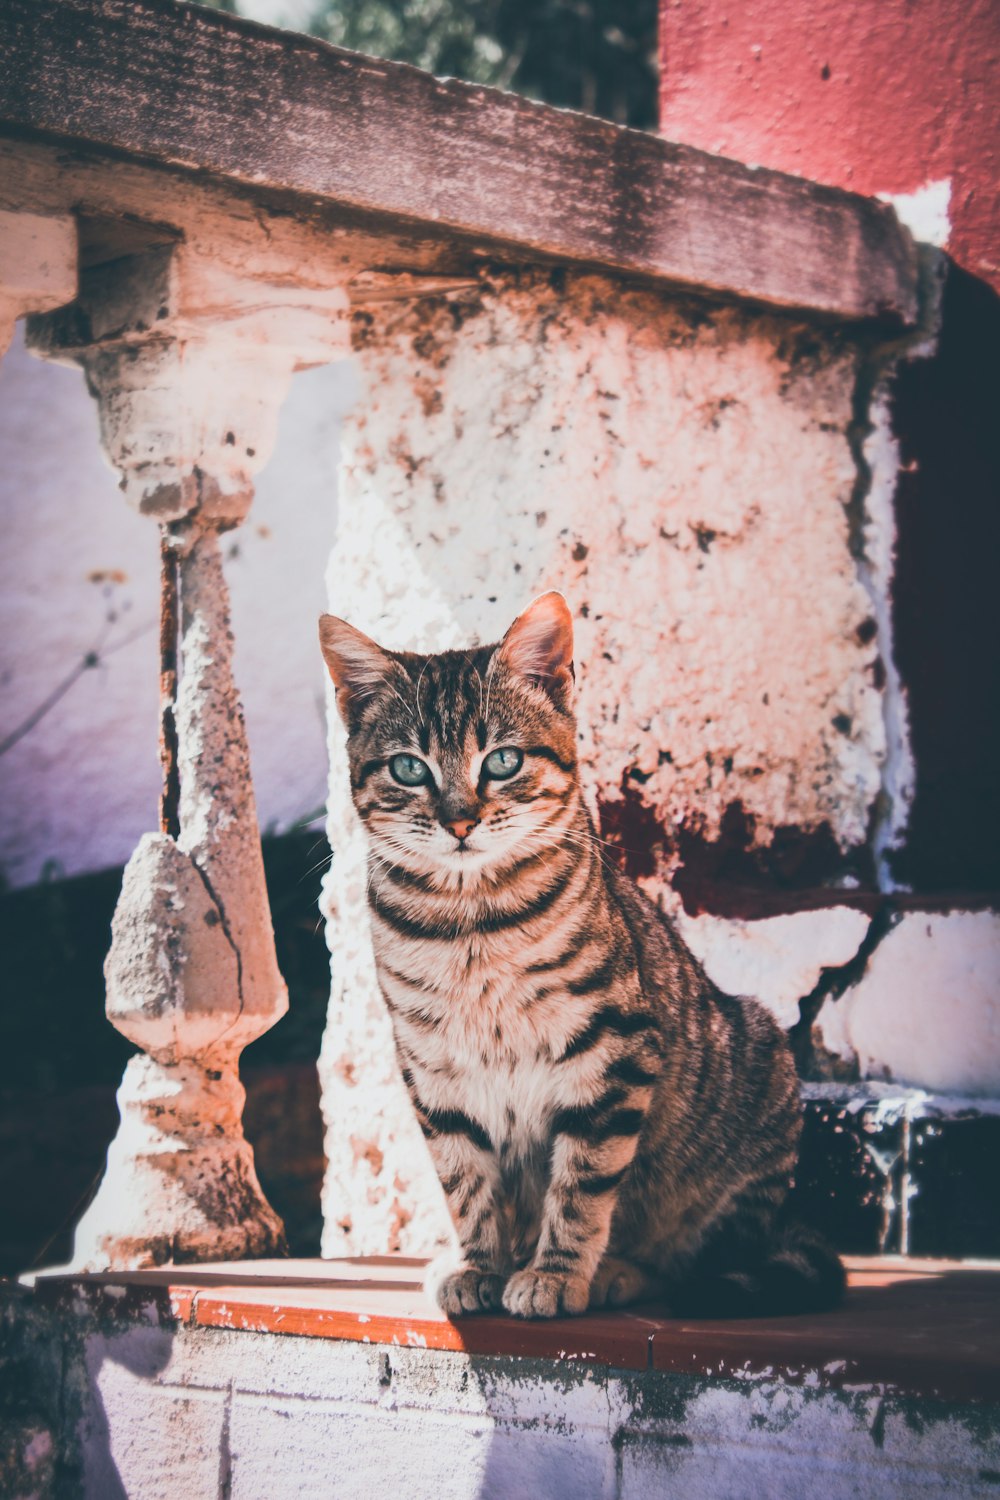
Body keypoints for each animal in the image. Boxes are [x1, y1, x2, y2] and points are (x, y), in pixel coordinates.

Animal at [322, 591, 845, 1320]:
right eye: (407, 768)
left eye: (502, 761)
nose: (460, 821)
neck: (471, 926)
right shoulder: (434, 1071)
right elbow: (467, 1183)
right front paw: (479, 1264)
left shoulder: (610, 1051)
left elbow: (582, 1184)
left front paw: (556, 1273)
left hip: (760, 1074)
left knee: (692, 1260)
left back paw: (616, 1272)